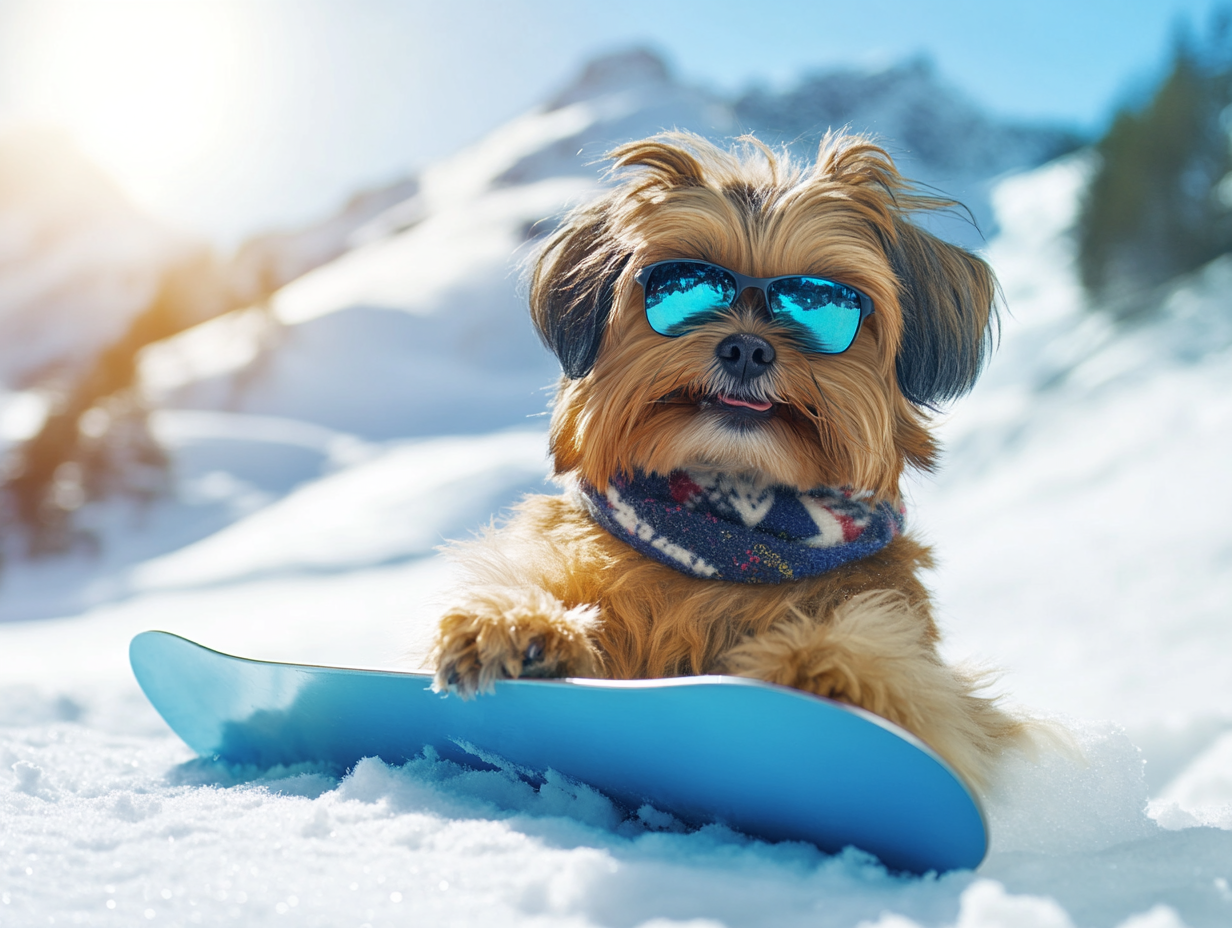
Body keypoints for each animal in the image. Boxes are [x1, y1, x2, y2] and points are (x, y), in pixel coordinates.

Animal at [428, 131, 1025, 788]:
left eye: (826, 304)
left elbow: (903, 672)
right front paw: (521, 624)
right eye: (684, 285)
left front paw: (828, 675)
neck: (731, 530)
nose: (746, 348)